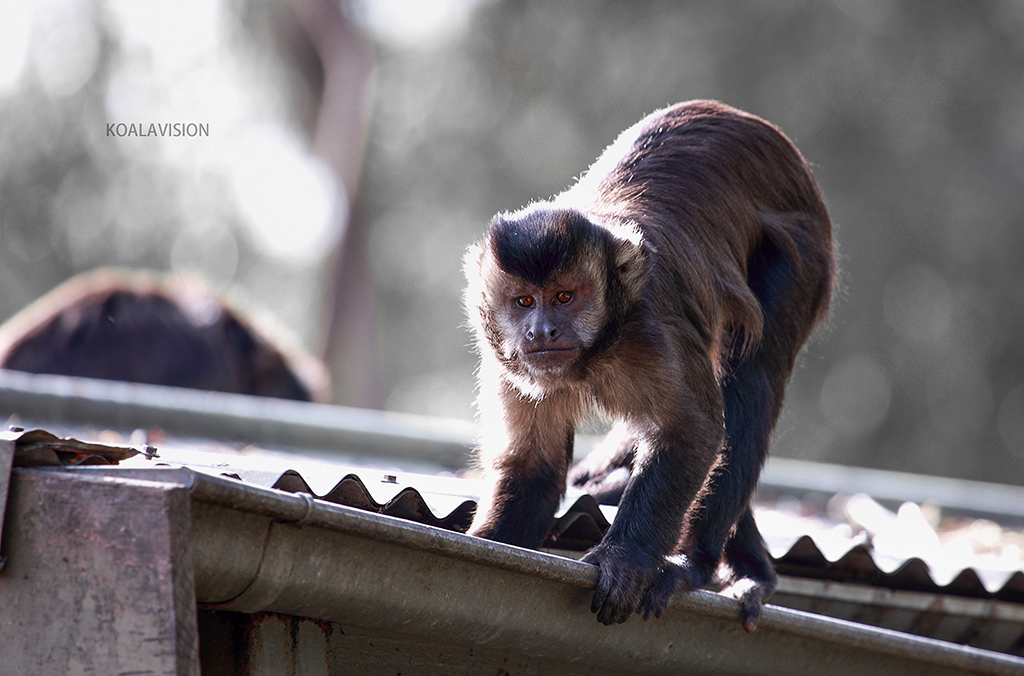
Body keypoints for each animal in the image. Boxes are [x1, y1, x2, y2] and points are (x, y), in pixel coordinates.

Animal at [468, 98, 835, 626]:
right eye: (523, 302)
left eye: (563, 297)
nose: (541, 331)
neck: (599, 349)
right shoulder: (506, 361)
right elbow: (532, 467)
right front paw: (488, 547)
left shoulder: (653, 328)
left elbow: (693, 431)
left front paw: (627, 558)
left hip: (803, 252)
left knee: (752, 383)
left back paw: (699, 564)